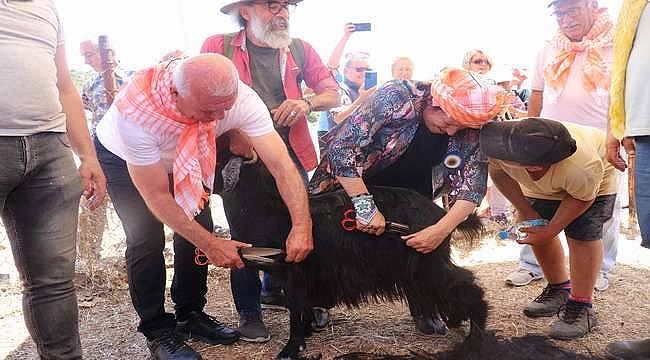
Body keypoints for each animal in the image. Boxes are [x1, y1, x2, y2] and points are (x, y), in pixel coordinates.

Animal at [216, 153, 486, 358]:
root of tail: (442, 216)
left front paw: (292, 348)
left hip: (428, 261)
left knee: (467, 285)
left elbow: (295, 309)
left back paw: (477, 334)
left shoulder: (294, 272)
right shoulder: (306, 278)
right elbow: (303, 307)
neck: (269, 209)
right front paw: (307, 332)